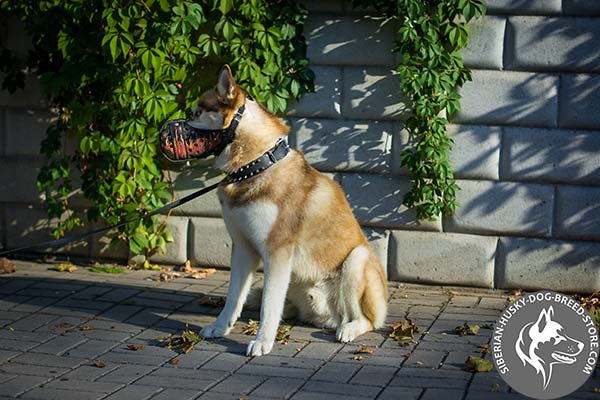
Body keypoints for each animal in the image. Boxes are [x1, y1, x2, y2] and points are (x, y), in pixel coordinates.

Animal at [193, 65, 390, 356]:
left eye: (197, 113)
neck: (256, 165)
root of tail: (325, 317)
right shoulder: (243, 248)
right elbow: (233, 298)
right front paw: (220, 328)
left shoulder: (277, 252)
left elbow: (268, 307)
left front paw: (262, 342)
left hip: (357, 259)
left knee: (366, 319)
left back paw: (349, 329)